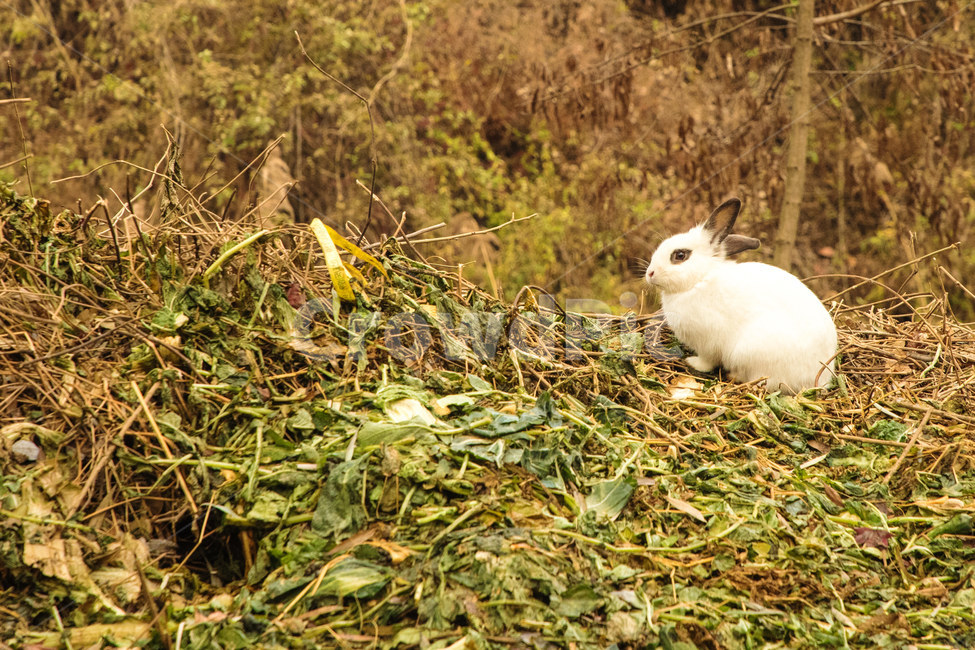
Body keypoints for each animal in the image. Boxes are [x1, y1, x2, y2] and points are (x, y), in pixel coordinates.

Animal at [644, 197, 837, 394]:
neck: (700, 278)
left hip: (750, 354)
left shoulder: (708, 344)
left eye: (680, 255)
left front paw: (693, 362)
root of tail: (820, 380)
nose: (649, 273)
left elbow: (708, 361)